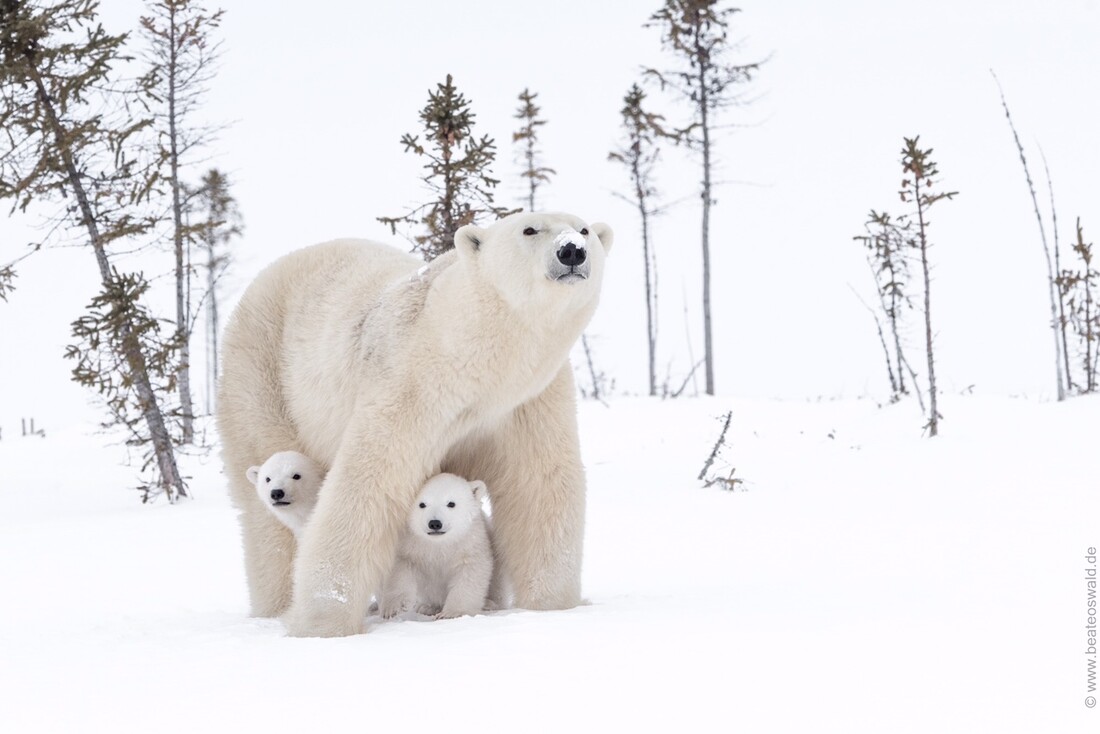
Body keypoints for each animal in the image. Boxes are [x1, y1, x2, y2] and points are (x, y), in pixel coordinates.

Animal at [214, 212, 611, 638]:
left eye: (584, 229)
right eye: (530, 229)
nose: (572, 250)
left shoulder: (527, 399)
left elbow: (537, 484)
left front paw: (554, 605)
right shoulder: (411, 382)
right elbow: (370, 479)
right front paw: (323, 623)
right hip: (262, 371)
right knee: (264, 500)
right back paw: (275, 605)